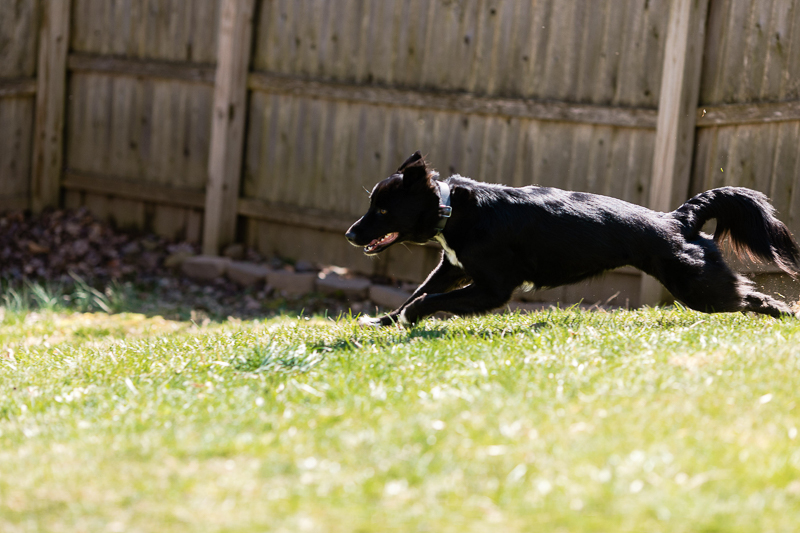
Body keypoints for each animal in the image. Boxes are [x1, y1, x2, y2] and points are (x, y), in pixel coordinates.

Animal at [346, 150, 800, 324]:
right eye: (372, 204)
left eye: (382, 210)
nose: (350, 234)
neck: (454, 210)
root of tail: (677, 218)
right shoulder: (453, 269)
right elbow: (418, 291)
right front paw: (384, 320)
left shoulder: (493, 287)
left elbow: (425, 300)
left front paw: (408, 319)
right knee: (750, 296)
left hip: (697, 287)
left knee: (746, 295)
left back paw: (785, 313)